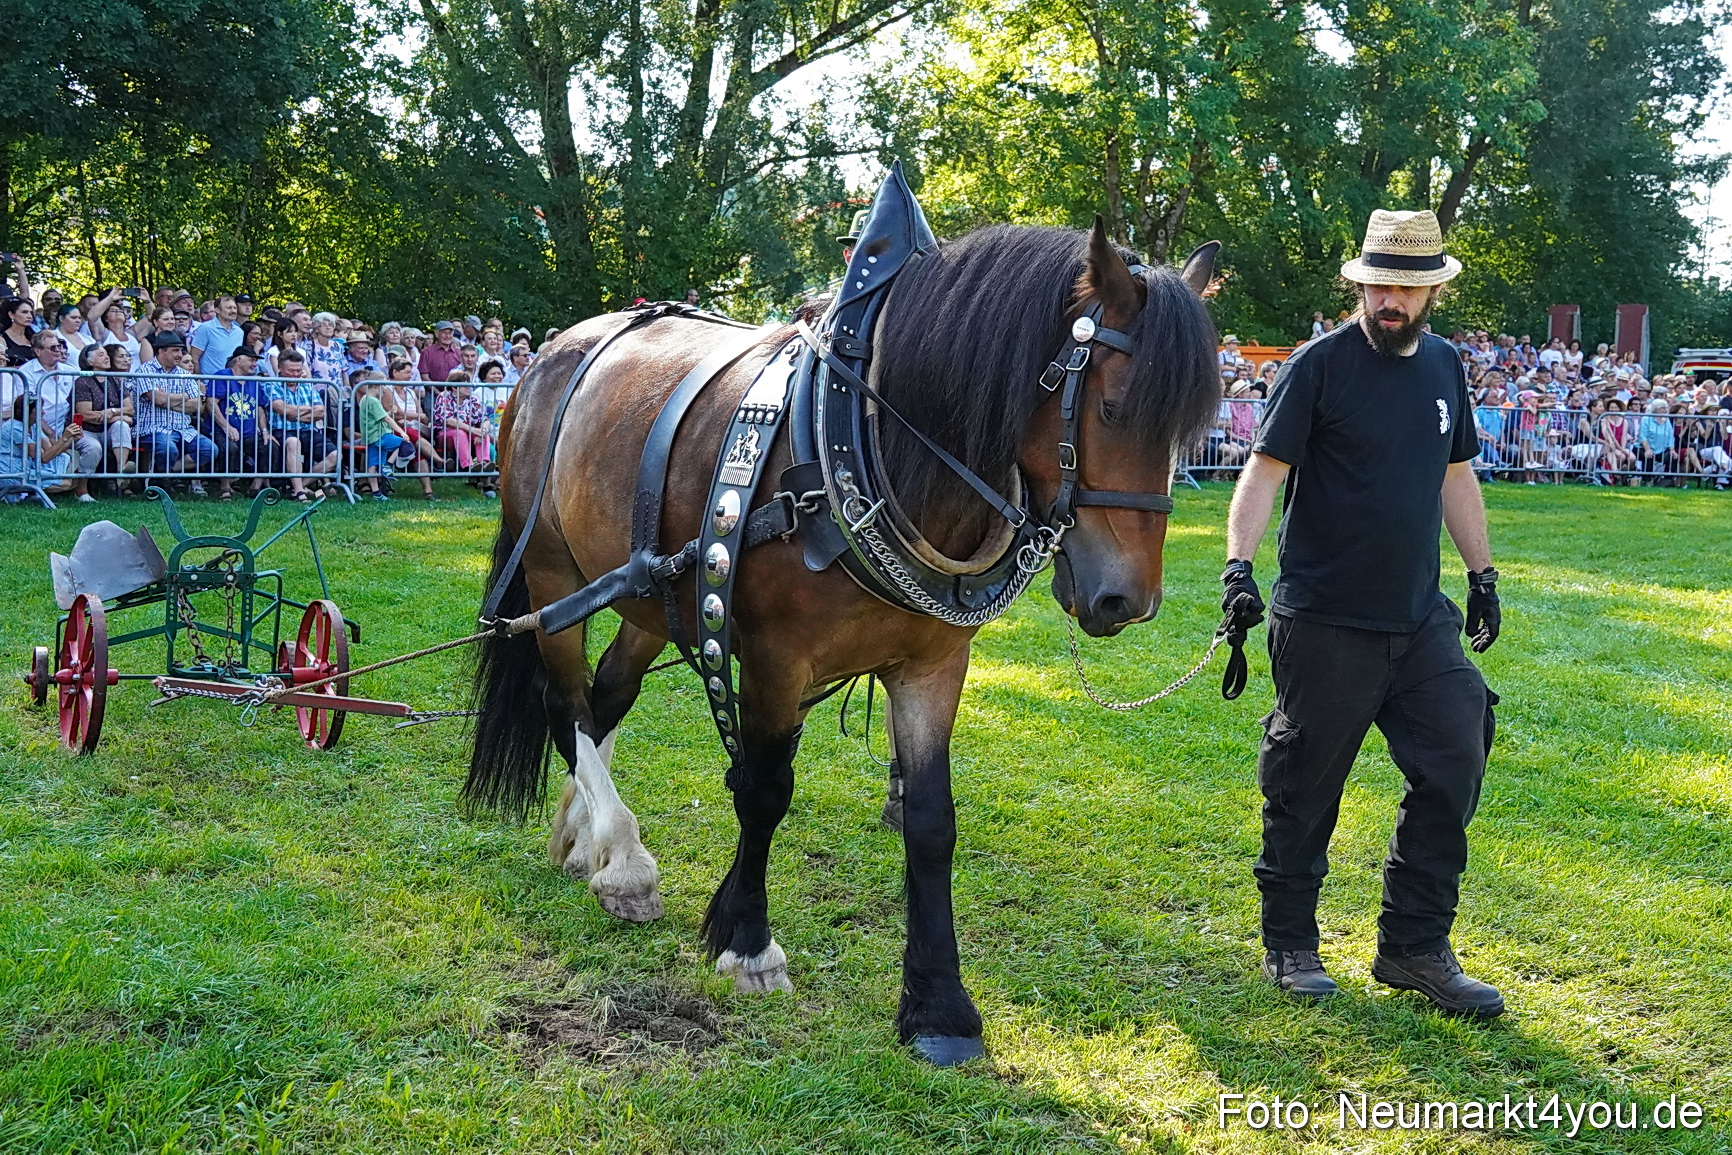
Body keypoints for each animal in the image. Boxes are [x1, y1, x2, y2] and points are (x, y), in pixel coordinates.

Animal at [465, 218, 1221, 1064]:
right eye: (1115, 408)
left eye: (1188, 429)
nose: (1128, 599)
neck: (869, 447)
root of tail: (552, 354)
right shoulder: (771, 660)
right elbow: (764, 791)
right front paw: (748, 941)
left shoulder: (933, 663)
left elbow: (931, 820)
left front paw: (938, 1003)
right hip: (552, 575)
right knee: (564, 702)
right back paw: (623, 857)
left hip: (642, 592)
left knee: (607, 694)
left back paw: (583, 835)